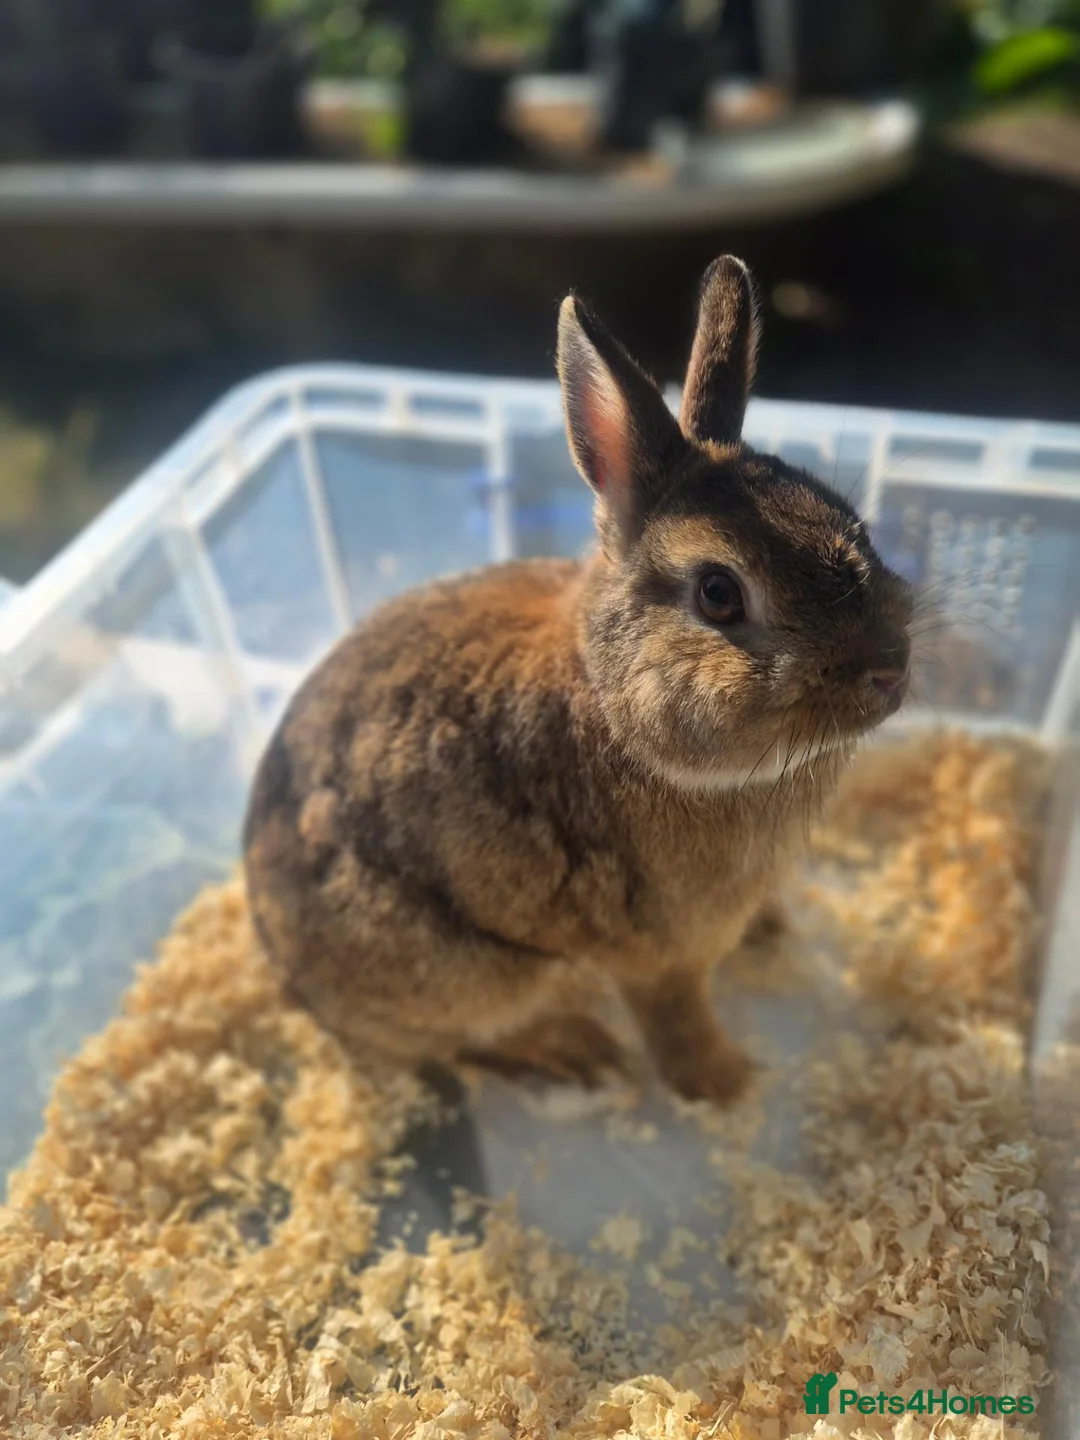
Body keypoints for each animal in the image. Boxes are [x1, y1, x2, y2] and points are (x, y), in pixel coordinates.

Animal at [243, 255, 913, 1104]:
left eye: (849, 520)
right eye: (718, 593)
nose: (890, 669)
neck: (616, 707)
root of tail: (286, 970)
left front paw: (772, 931)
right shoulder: (659, 957)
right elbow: (676, 1018)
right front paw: (723, 1085)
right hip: (472, 972)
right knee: (467, 1043)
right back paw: (578, 1050)